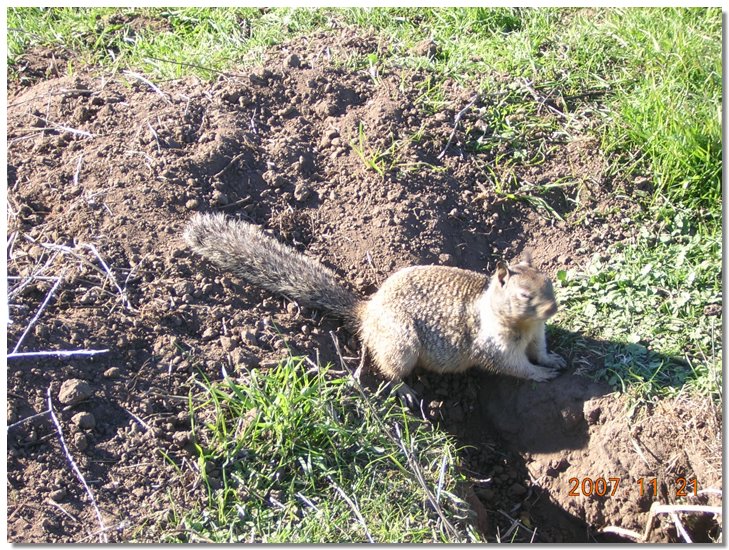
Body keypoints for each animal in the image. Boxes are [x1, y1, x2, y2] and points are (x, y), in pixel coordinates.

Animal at [185, 216, 564, 392]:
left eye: (549, 283)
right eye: (524, 295)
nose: (552, 310)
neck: (523, 323)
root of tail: (366, 312)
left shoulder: (537, 334)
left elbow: (540, 350)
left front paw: (553, 360)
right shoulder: (495, 344)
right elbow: (514, 366)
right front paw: (541, 374)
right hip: (401, 344)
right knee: (388, 369)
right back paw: (405, 390)